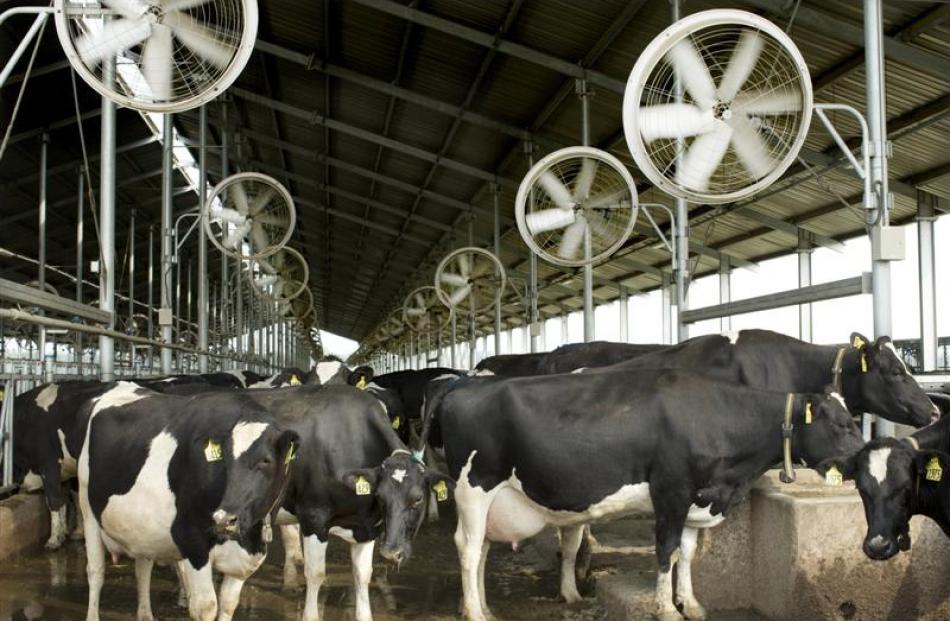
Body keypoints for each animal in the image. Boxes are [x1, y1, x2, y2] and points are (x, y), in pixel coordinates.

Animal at [80, 382, 300, 620]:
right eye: (224, 458)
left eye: (265, 460)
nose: (224, 519)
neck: (249, 538)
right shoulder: (192, 542)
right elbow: (206, 607)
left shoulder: (243, 560)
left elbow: (228, 603)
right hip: (88, 510)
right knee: (95, 572)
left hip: (141, 529)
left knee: (143, 570)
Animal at [436, 370, 868, 616]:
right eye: (840, 423)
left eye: (853, 419)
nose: (865, 455)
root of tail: (463, 387)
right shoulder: (671, 492)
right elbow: (665, 551)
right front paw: (666, 608)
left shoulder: (696, 498)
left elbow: (687, 553)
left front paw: (690, 603)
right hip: (473, 487)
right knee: (467, 548)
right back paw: (474, 613)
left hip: (491, 500)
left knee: (482, 548)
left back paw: (484, 606)